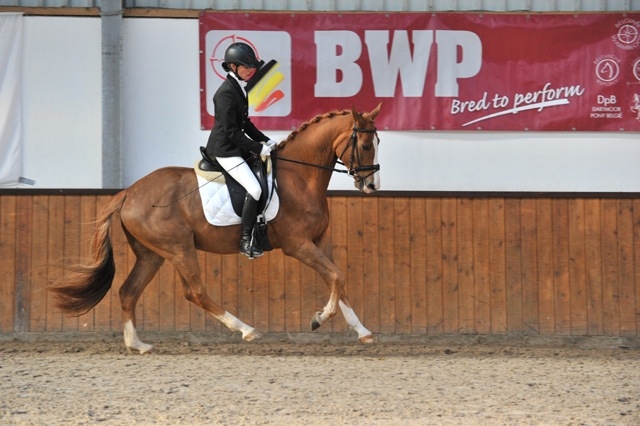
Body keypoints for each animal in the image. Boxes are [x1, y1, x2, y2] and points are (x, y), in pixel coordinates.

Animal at [50, 104, 382, 352]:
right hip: (179, 248)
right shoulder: (298, 245)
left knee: (129, 291)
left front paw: (362, 331)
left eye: (377, 144)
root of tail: (129, 192)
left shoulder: (319, 241)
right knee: (195, 291)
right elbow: (336, 278)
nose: (372, 186)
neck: (299, 176)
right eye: (366, 145)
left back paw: (137, 345)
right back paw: (246, 329)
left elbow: (338, 280)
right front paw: (319, 318)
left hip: (151, 254)